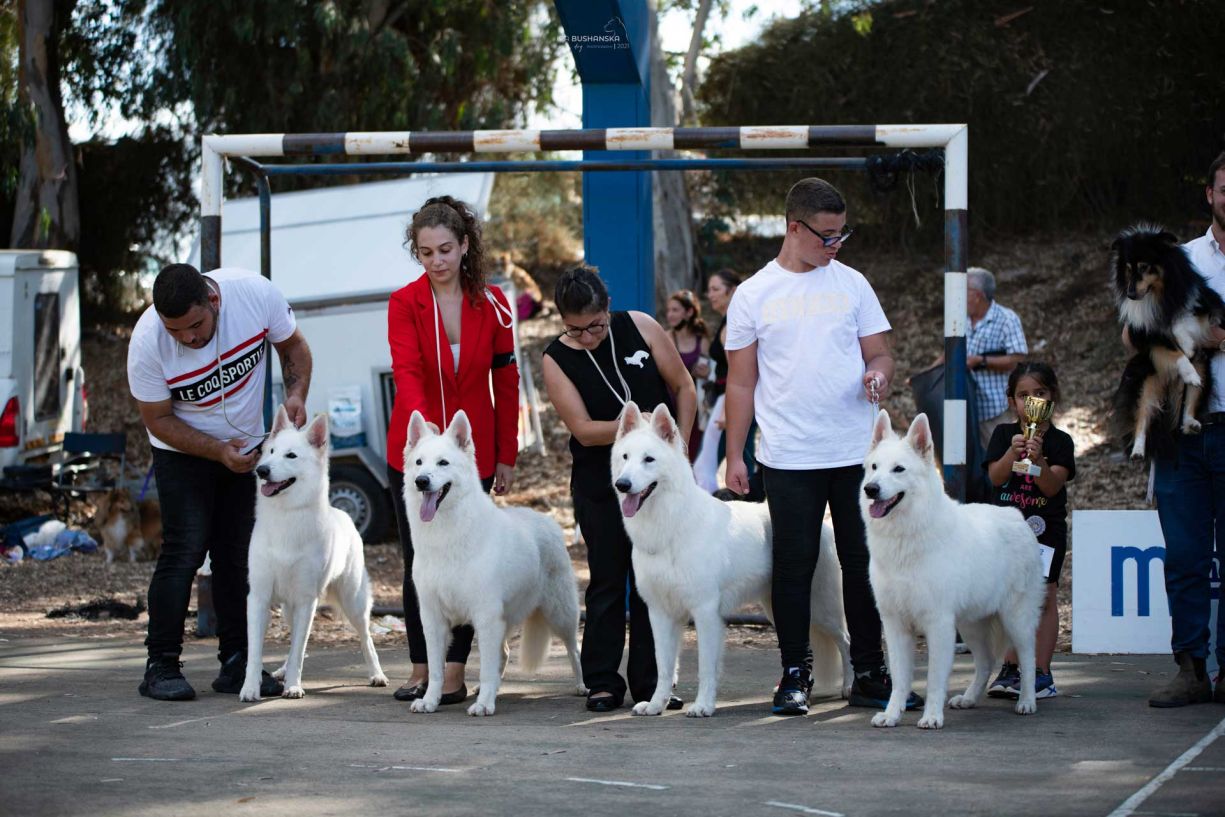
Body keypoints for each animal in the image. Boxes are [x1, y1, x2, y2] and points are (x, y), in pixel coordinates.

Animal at [239, 406, 388, 701]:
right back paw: (282, 671)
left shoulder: (306, 600)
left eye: (291, 456)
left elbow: (299, 649)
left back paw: (376, 674)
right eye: (270, 451)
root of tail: (341, 512)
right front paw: (250, 688)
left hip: (352, 601)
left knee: (365, 638)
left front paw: (294, 687)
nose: (262, 470)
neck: (286, 515)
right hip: (289, 608)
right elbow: (255, 653)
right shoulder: (259, 598)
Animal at [402, 409, 586, 716]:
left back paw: (583, 685)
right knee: (504, 653)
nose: (422, 481)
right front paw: (430, 700)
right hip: (506, 619)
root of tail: (546, 520)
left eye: (443, 463)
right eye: (418, 463)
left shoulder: (486, 616)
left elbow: (486, 668)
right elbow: (437, 669)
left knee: (573, 647)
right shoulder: (433, 618)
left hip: (559, 613)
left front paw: (484, 705)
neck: (447, 536)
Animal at [612, 402, 852, 718]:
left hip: (822, 609)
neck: (673, 524)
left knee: (846, 641)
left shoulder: (705, 612)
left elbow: (705, 667)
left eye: (648, 460)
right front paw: (655, 704)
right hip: (780, 607)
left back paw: (851, 686)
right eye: (625, 457)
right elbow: (664, 667)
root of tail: (822, 526)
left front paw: (703, 705)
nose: (622, 484)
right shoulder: (660, 613)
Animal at [861, 410, 1044, 729]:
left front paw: (932, 716)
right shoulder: (895, 625)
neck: (907, 536)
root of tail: (1017, 516)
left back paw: (1027, 701)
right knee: (985, 662)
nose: (870, 489)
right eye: (874, 467)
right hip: (971, 624)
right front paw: (892, 714)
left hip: (1015, 619)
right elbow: (899, 679)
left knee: (1028, 658)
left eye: (898, 469)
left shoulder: (938, 624)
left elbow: (934, 678)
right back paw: (969, 698)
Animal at [1109, 224, 1225, 460]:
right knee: (1143, 415)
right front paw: (1185, 353)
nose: (1131, 294)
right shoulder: (1145, 335)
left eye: (1144, 267)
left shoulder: (1205, 303)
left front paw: (1187, 344)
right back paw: (1137, 451)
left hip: (1203, 367)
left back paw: (1191, 421)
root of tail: (1171, 384)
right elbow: (1173, 348)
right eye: (1128, 268)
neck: (1159, 295)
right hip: (1146, 382)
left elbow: (1183, 320)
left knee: (1190, 401)